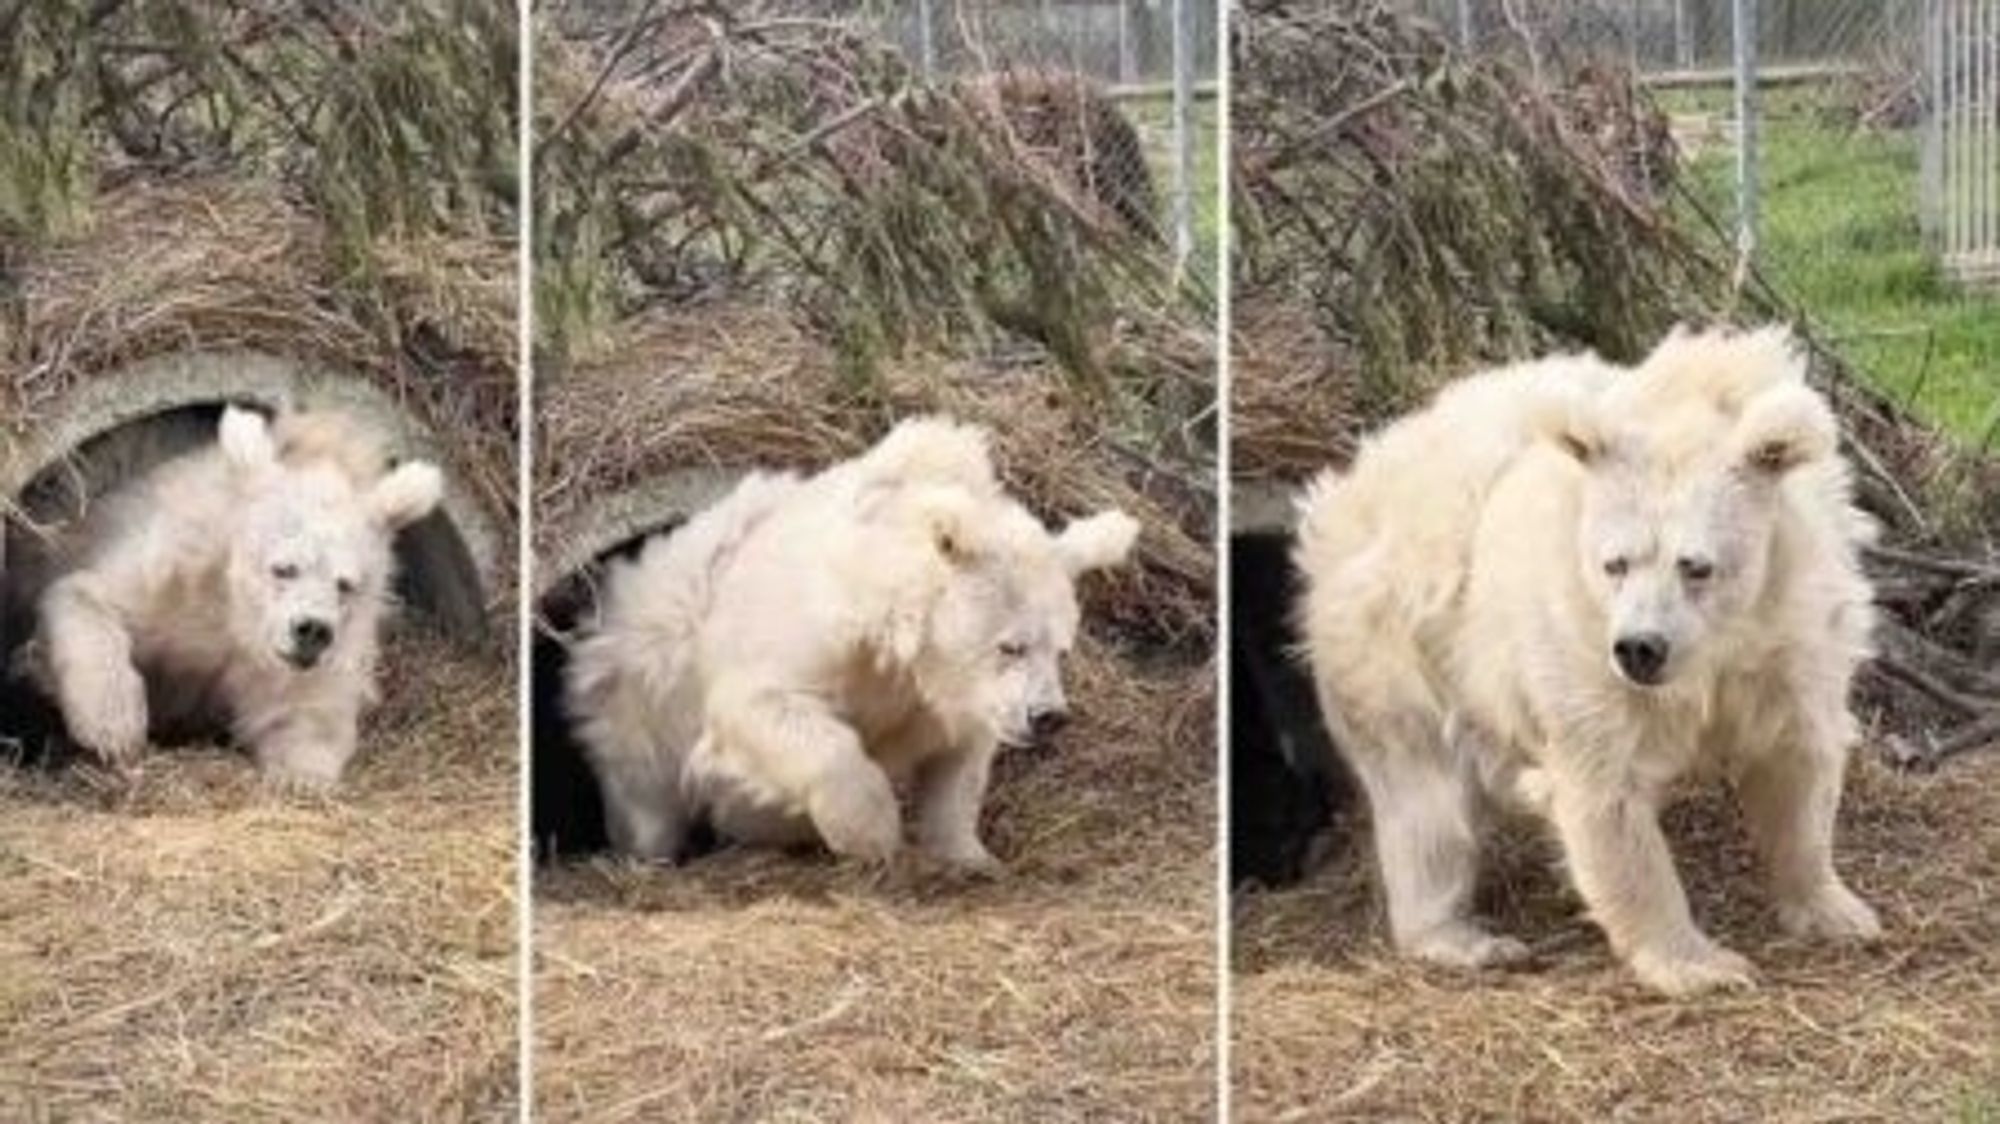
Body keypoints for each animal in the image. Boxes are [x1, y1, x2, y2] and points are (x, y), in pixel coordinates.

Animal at [34, 404, 442, 788]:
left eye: (345, 584)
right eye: (284, 568)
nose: (312, 630)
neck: (235, 614)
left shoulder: (310, 656)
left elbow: (306, 709)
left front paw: (300, 776)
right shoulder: (172, 578)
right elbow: (87, 593)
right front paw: (113, 727)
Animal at [572, 416, 1152, 860]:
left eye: (1061, 650)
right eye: (1011, 645)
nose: (1048, 716)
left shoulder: (949, 699)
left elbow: (959, 764)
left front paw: (969, 856)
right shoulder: (810, 633)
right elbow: (765, 704)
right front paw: (870, 831)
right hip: (643, 694)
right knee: (644, 794)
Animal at [1304, 324, 1880, 988]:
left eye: (1696, 565)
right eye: (1615, 562)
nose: (1640, 648)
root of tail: (1349, 486)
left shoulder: (1796, 635)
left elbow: (1798, 761)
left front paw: (1839, 911)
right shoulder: (1577, 642)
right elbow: (1607, 796)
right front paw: (1702, 964)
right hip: (1396, 643)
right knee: (1425, 804)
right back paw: (1467, 939)